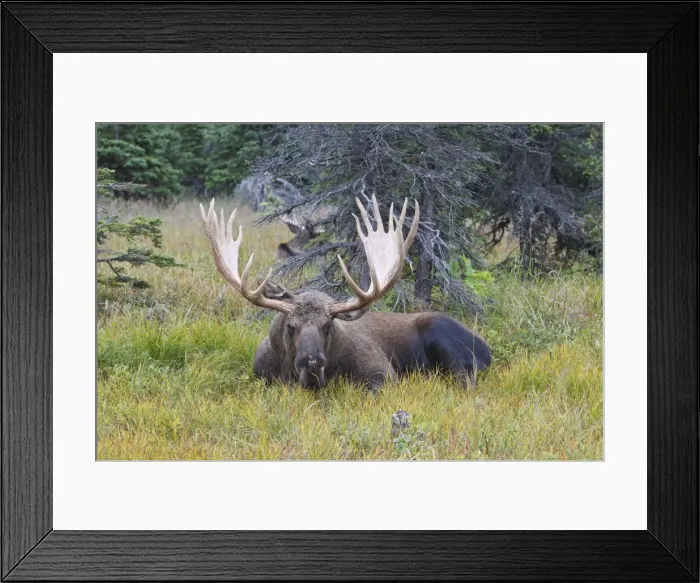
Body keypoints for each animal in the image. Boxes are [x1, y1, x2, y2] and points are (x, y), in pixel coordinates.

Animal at [199, 194, 491, 392]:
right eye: (291, 326)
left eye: (328, 325)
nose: (312, 362)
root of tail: (487, 349)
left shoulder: (382, 372)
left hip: (444, 337)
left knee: (465, 382)